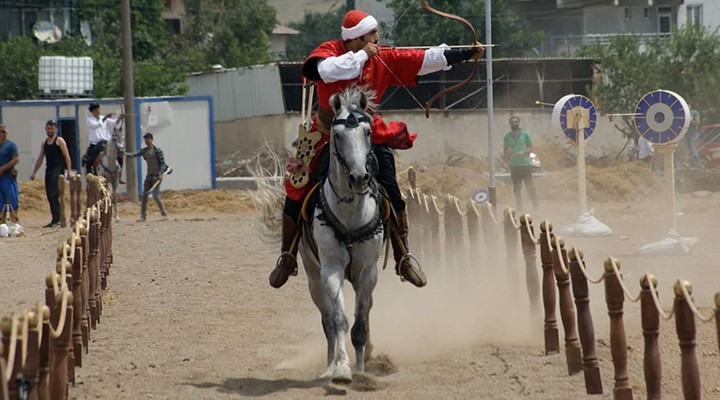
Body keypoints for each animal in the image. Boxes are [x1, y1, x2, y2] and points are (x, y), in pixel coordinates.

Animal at [298, 88, 386, 384]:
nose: (359, 177)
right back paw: (328, 365)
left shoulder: (367, 272)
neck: (350, 211)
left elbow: (359, 323)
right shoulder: (331, 270)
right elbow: (340, 321)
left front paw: (360, 369)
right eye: (337, 135)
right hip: (313, 277)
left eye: (368, 132)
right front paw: (342, 369)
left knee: (366, 312)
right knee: (327, 320)